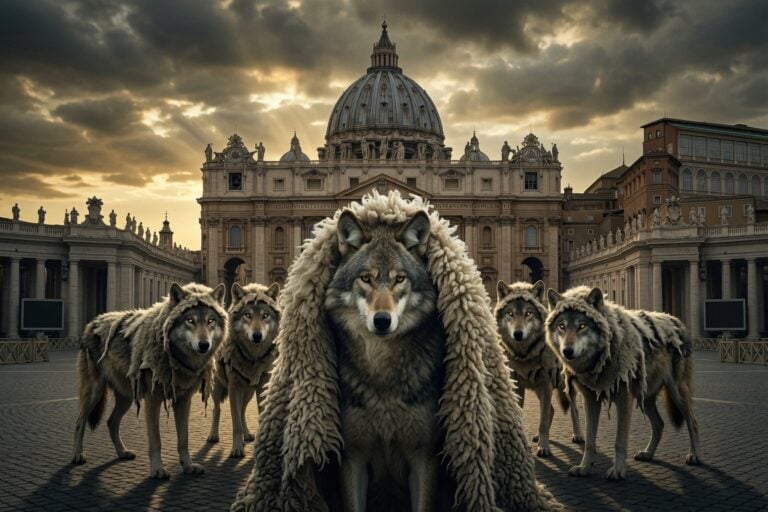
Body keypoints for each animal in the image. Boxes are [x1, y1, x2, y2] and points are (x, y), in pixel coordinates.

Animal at [71, 282, 228, 479]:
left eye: (210, 321)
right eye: (190, 320)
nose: (204, 345)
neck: (175, 356)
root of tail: (93, 322)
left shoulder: (183, 400)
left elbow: (183, 439)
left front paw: (188, 466)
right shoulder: (153, 400)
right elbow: (156, 440)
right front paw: (157, 470)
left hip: (126, 398)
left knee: (111, 422)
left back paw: (122, 452)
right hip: (95, 393)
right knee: (80, 421)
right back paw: (77, 455)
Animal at [207, 282, 280, 458]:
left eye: (265, 315)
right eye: (247, 315)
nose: (257, 335)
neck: (252, 357)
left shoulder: (261, 387)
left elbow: (257, 416)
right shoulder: (233, 388)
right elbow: (236, 423)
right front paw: (237, 449)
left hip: (248, 392)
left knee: (242, 411)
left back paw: (247, 435)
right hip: (218, 389)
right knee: (216, 410)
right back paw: (213, 435)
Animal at [495, 280, 583, 457]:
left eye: (528, 313)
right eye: (510, 314)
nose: (518, 334)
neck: (526, 354)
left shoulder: (546, 383)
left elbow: (543, 420)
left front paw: (544, 447)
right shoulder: (519, 385)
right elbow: (521, 415)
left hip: (564, 387)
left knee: (574, 410)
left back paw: (577, 435)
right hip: (537, 388)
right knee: (552, 410)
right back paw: (536, 436)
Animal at [545, 286, 701, 480]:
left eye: (582, 326)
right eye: (562, 326)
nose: (567, 351)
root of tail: (676, 320)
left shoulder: (623, 399)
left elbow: (619, 440)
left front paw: (617, 471)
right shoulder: (590, 400)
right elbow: (590, 441)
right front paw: (584, 467)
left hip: (677, 394)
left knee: (693, 422)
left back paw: (694, 455)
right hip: (645, 398)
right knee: (660, 424)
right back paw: (647, 454)